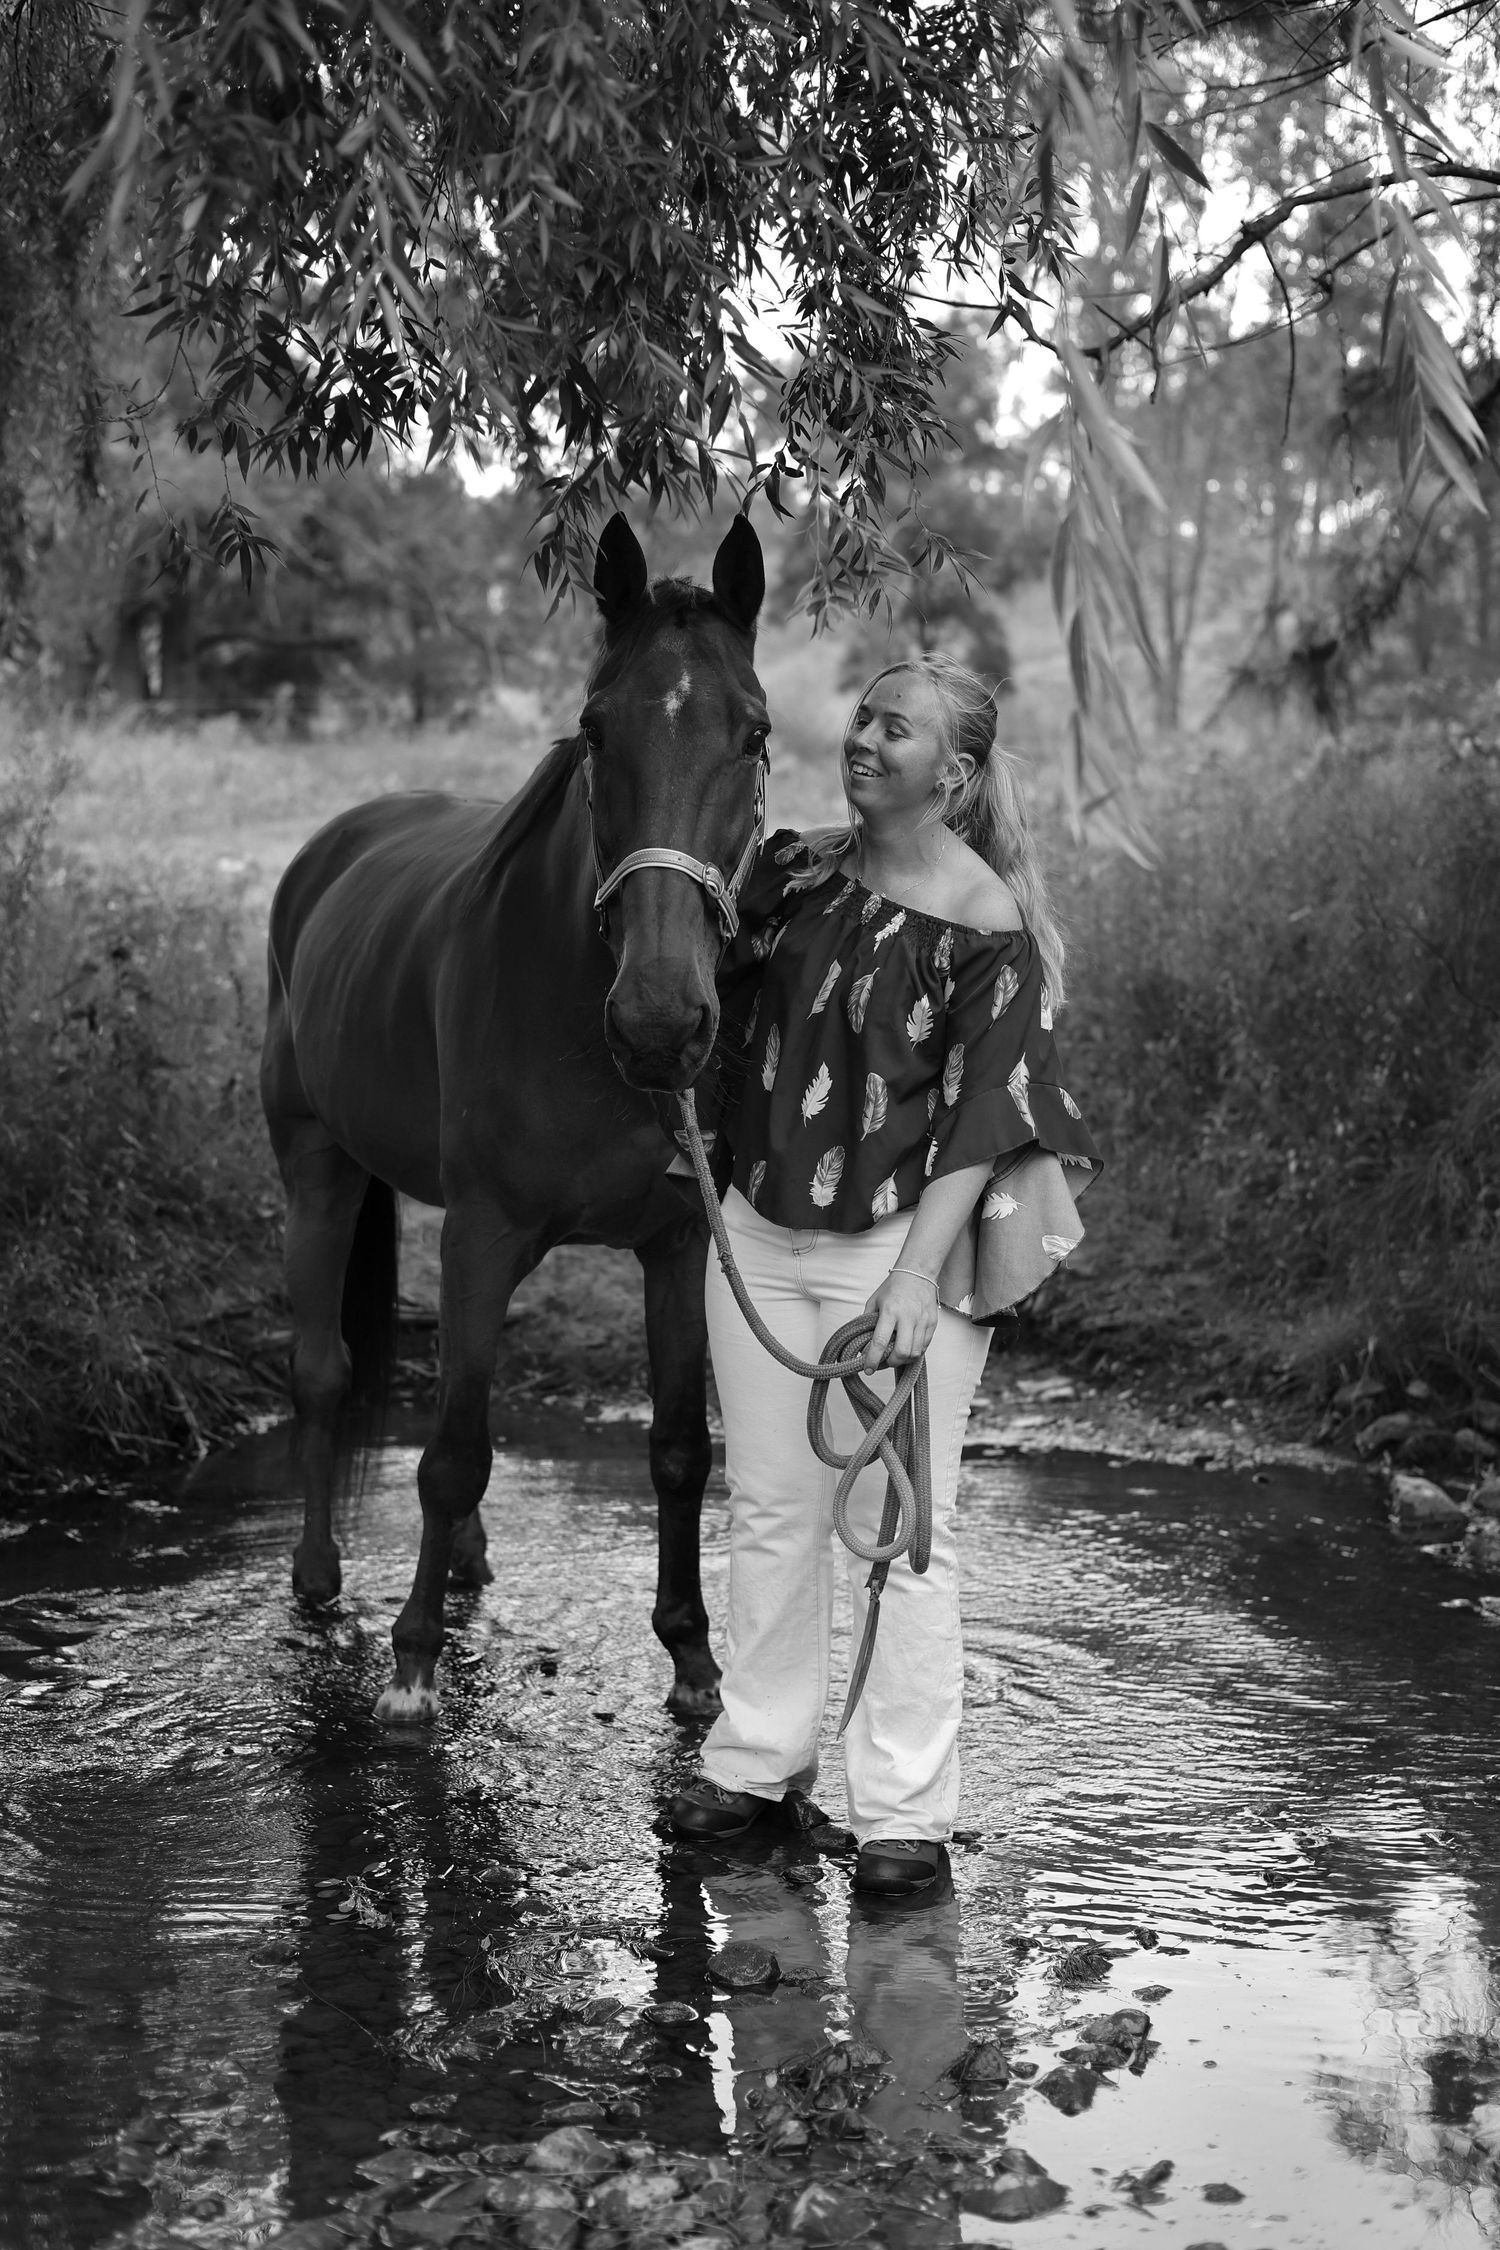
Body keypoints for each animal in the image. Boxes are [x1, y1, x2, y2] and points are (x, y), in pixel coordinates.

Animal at [259, 512, 769, 1723]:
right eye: (594, 728)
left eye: (756, 734)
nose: (661, 1021)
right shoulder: (485, 1232)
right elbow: (449, 1454)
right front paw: (411, 1664)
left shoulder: (676, 1245)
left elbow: (678, 1449)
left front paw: (693, 1658)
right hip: (318, 1168)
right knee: (327, 1375)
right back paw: (321, 1579)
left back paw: (469, 1563)